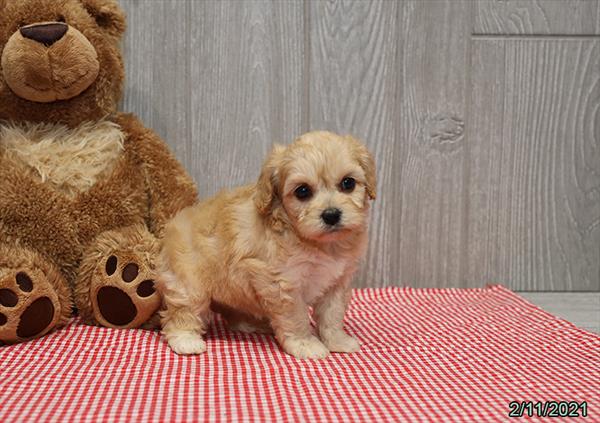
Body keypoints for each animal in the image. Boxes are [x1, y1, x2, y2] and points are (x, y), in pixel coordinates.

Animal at [158, 131, 376, 360]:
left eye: (348, 183)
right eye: (303, 191)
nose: (331, 215)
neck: (319, 244)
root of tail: (172, 225)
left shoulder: (337, 282)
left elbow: (332, 314)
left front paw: (337, 340)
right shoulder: (282, 284)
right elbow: (297, 318)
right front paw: (305, 344)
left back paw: (252, 324)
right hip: (188, 283)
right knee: (182, 313)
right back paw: (186, 341)